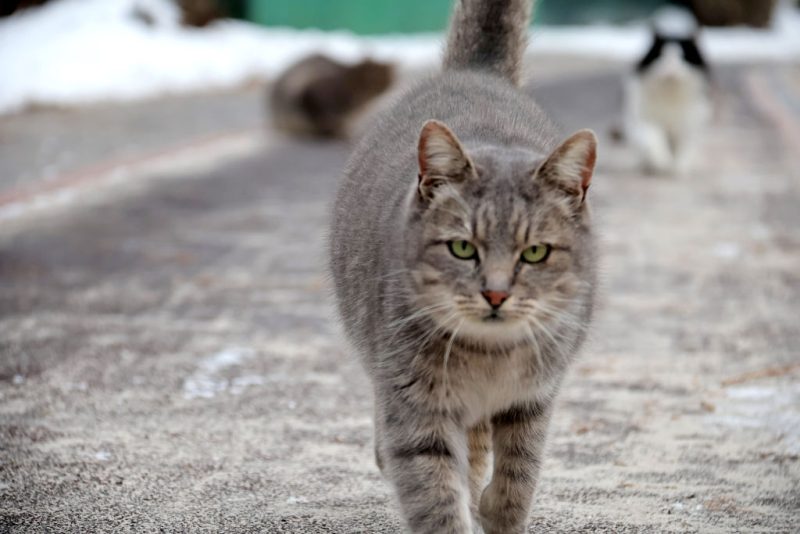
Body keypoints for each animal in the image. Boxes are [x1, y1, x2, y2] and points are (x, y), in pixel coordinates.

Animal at [328, 2, 596, 532]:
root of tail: (475, 71)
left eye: (534, 253)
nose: (495, 293)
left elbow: (518, 478)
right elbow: (436, 498)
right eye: (462, 248)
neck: (489, 358)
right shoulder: (416, 410)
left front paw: (498, 510)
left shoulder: (533, 400)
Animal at [624, 13, 712, 176]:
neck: (670, 95)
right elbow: (654, 137)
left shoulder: (691, 121)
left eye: (683, 58)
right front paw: (661, 162)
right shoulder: (642, 118)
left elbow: (684, 147)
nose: (671, 72)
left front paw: (679, 168)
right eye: (660, 57)